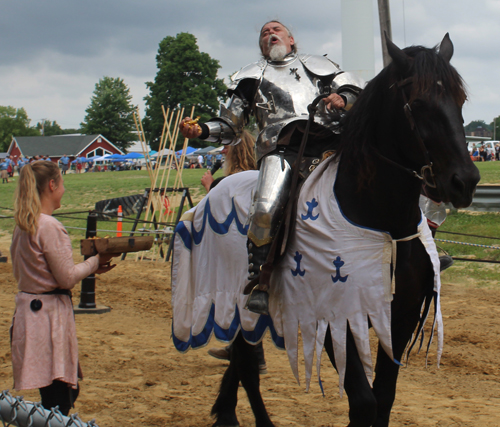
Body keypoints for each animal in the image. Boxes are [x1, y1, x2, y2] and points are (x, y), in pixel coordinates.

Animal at [205, 36, 478, 427]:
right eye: (417, 103)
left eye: (460, 100)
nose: (464, 182)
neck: (381, 224)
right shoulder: (334, 318)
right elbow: (363, 401)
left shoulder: (401, 316)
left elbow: (384, 398)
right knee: (244, 359)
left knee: (242, 360)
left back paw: (228, 412)